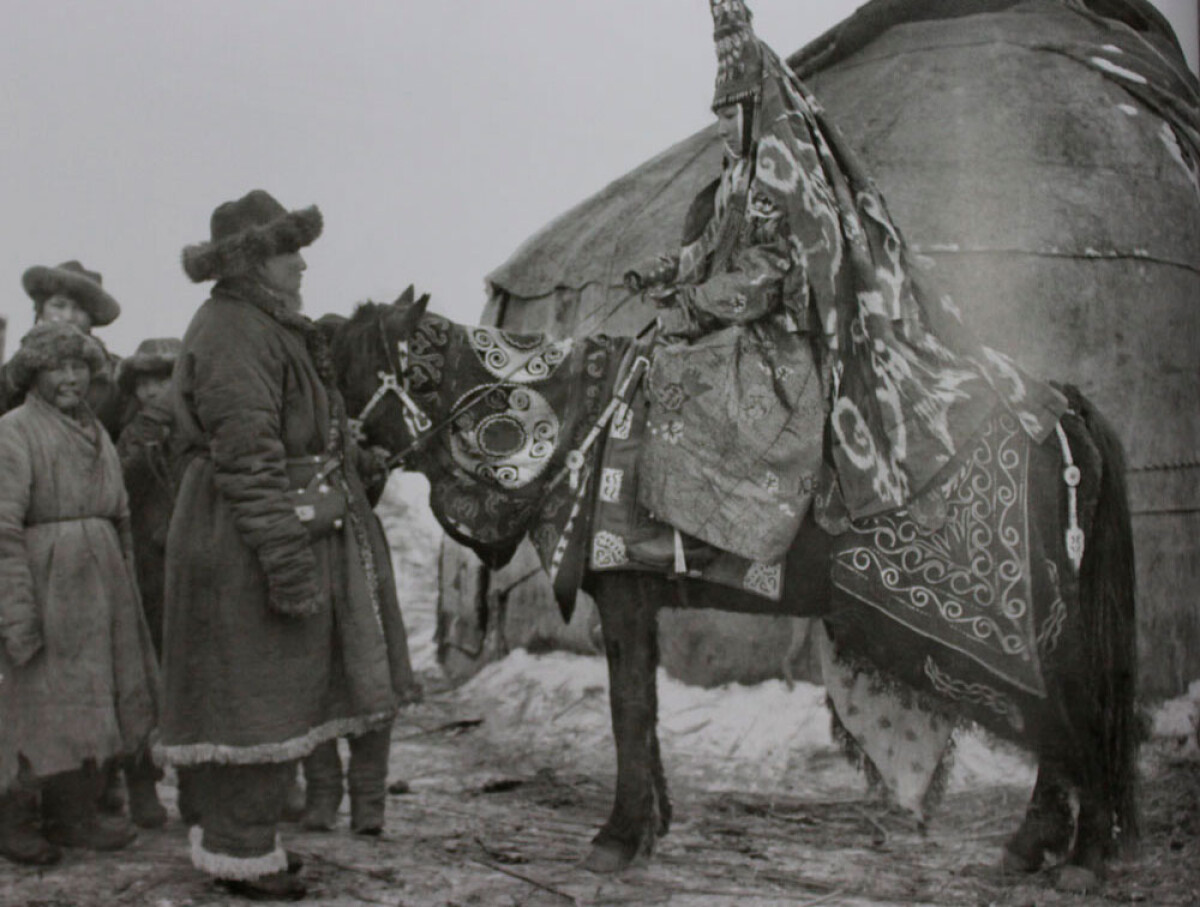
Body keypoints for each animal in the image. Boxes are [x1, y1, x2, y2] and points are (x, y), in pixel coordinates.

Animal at [328, 289, 1132, 878]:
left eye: (340, 367)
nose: (340, 470)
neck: (579, 419)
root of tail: (1062, 406)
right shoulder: (639, 600)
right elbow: (643, 707)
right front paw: (650, 825)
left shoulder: (624, 595)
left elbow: (627, 708)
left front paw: (618, 837)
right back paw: (1044, 846)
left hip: (1036, 628)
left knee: (1076, 712)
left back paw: (1077, 853)